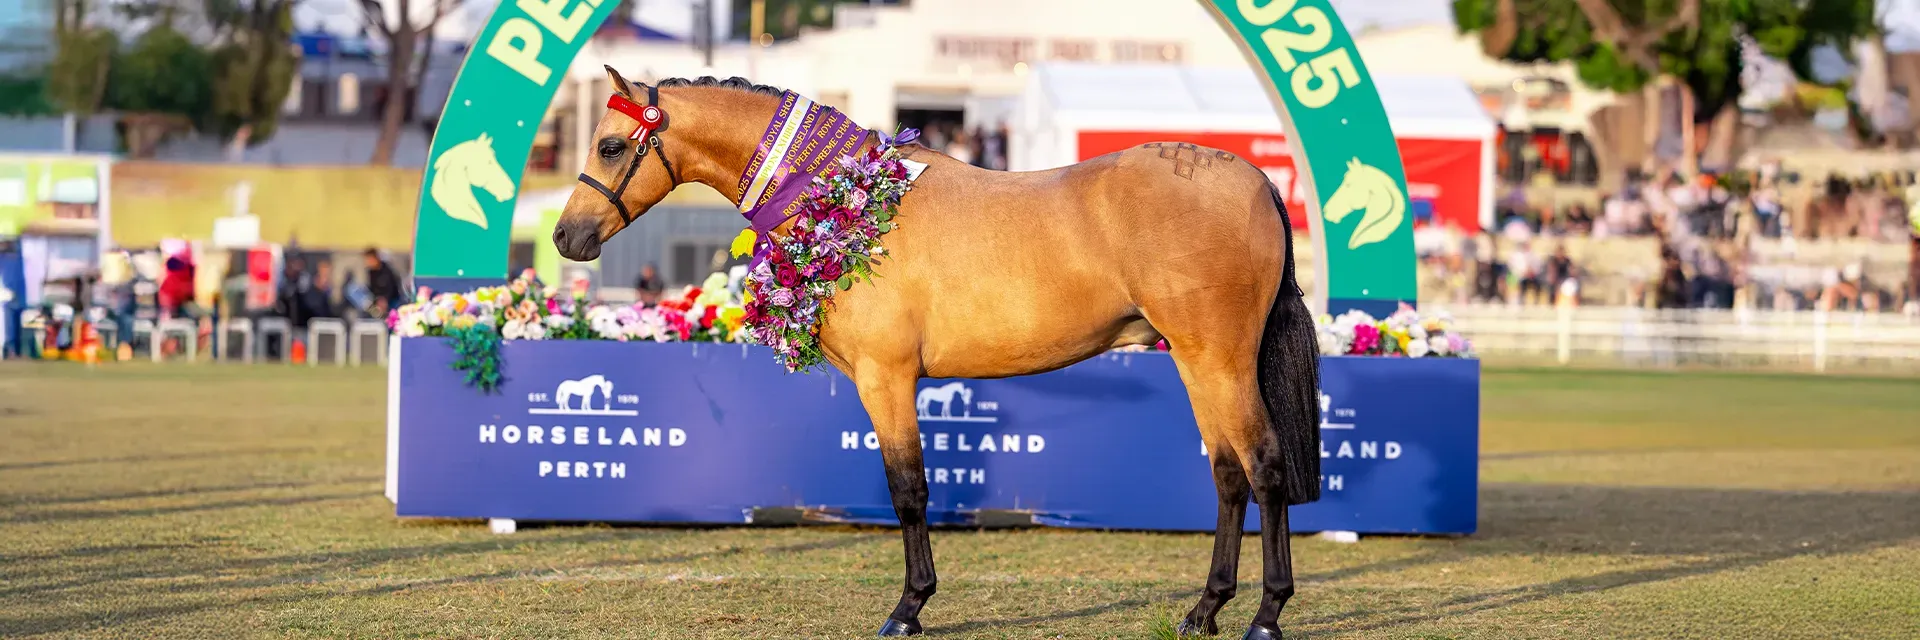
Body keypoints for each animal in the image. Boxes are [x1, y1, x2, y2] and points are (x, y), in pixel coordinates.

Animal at [554, 69, 1321, 640]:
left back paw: (1265, 616)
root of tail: (1252, 179)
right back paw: (1205, 611)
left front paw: (909, 608)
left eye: (613, 147)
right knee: (1228, 476)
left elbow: (909, 490)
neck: (851, 201)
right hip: (1199, 364)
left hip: (1217, 361)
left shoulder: (887, 380)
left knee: (1265, 469)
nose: (566, 237)